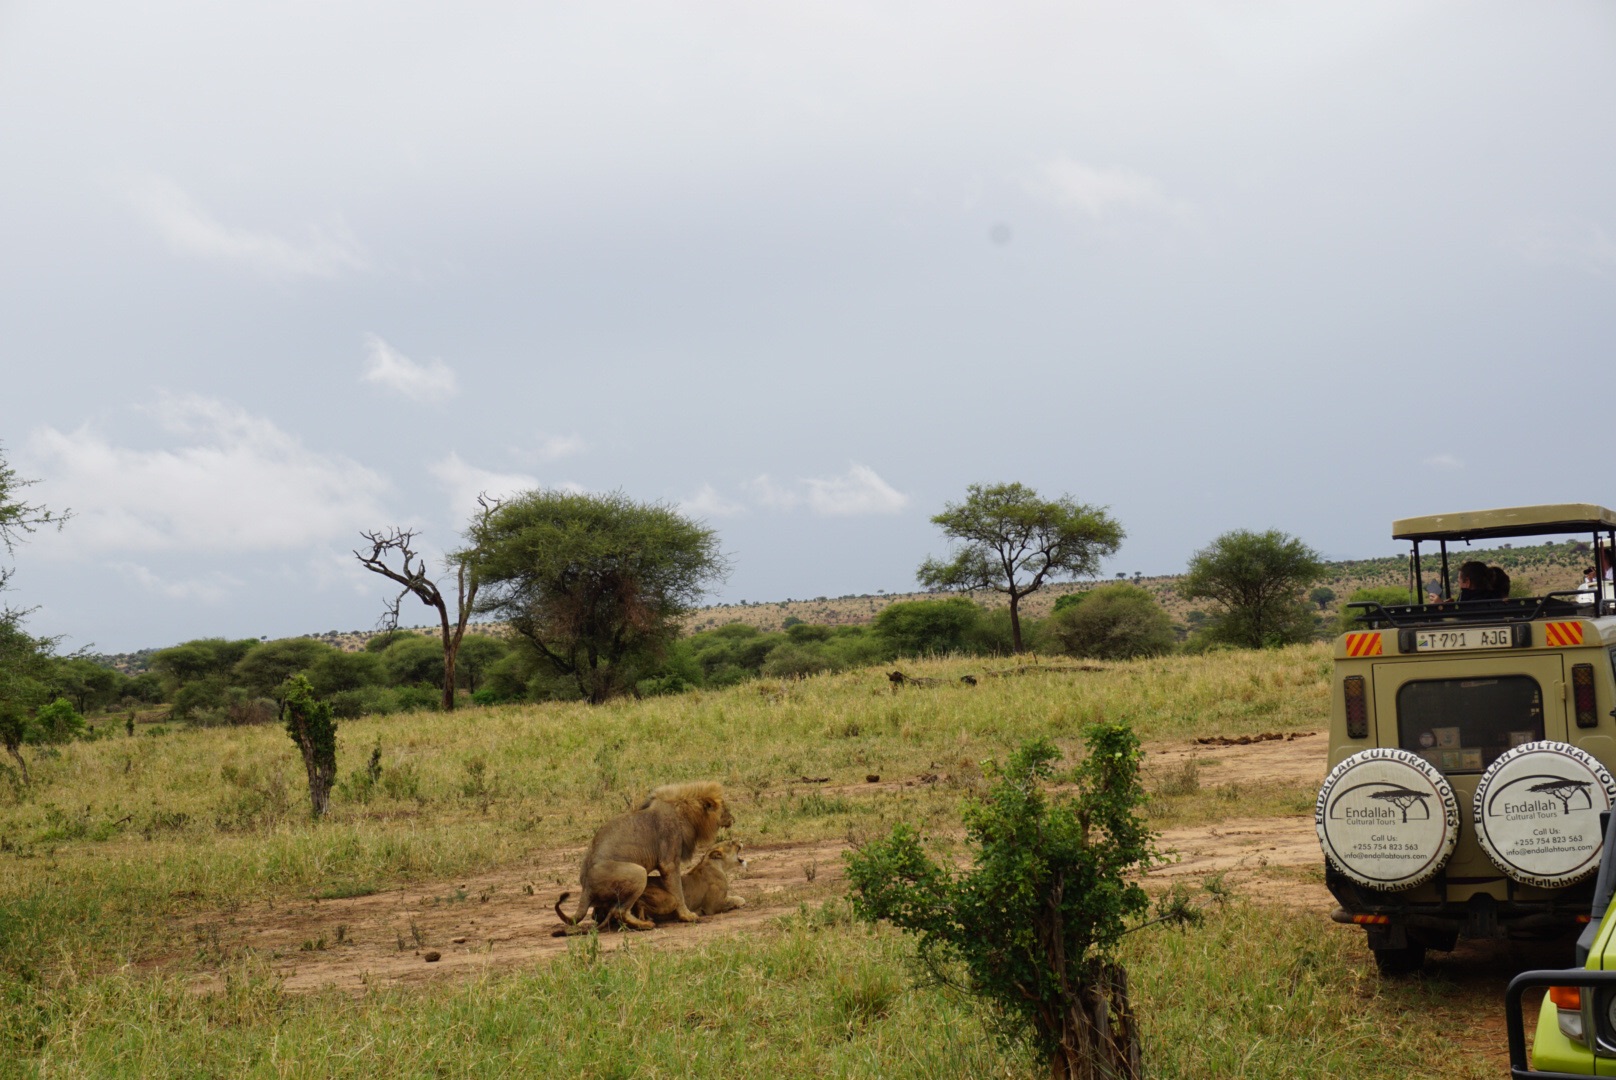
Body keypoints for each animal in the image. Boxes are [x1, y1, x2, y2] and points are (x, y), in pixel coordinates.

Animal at [555, 779, 733, 931]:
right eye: (724, 808)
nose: (733, 818)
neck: (684, 814)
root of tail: (586, 887)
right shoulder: (669, 863)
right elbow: (678, 892)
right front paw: (687, 916)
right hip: (638, 872)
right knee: (620, 911)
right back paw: (645, 924)